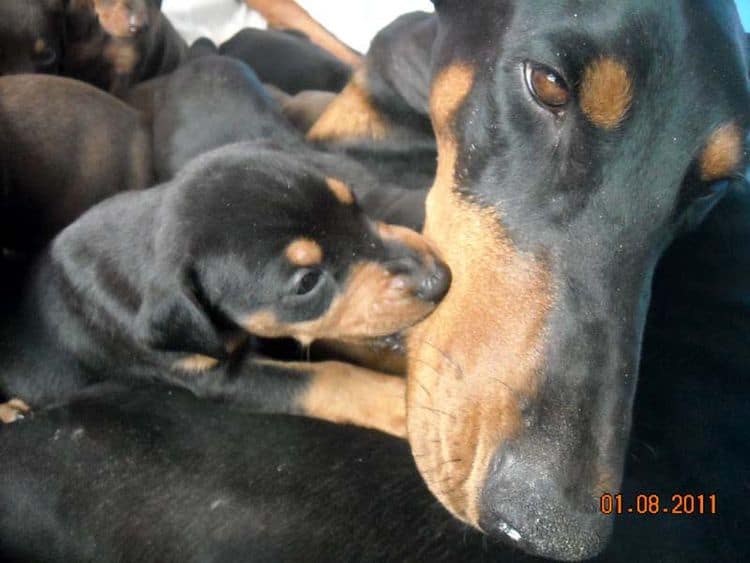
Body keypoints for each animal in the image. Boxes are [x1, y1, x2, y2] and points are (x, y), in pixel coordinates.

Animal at [0, 145, 450, 436]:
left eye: (354, 204)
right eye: (306, 282)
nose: (441, 278)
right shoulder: (212, 376)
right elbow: (329, 376)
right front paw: (403, 405)